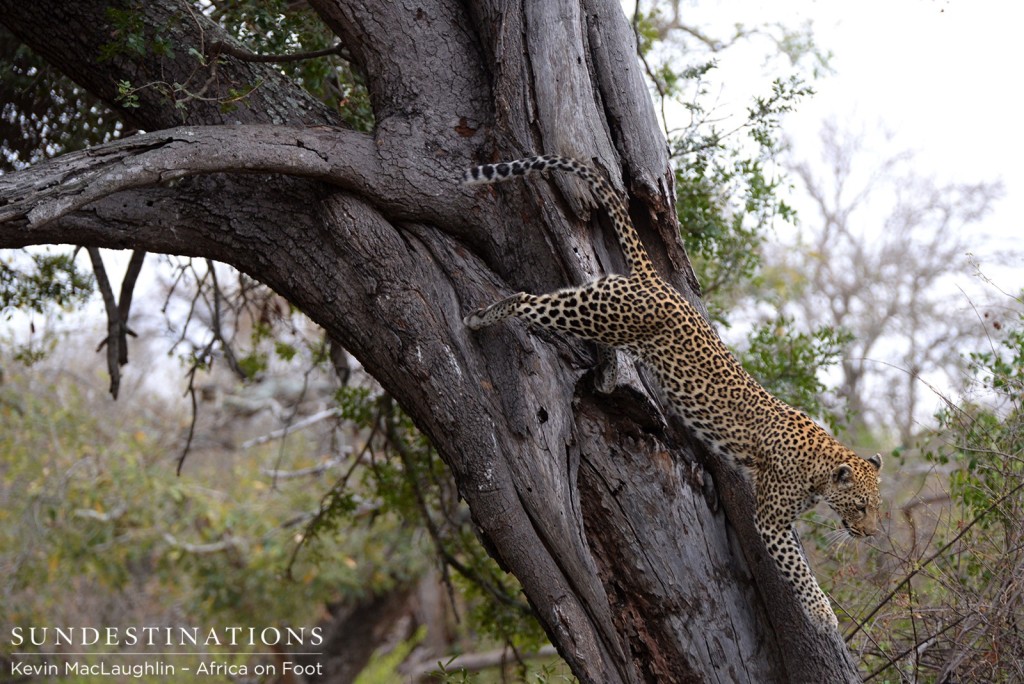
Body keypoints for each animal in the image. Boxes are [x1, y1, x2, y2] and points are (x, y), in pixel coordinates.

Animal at [462, 153, 880, 630]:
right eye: (861, 506)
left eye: (874, 506)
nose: (870, 534)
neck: (822, 466)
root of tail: (656, 280)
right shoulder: (771, 519)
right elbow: (797, 569)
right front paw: (822, 612)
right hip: (598, 313)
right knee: (526, 298)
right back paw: (481, 317)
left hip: (599, 302)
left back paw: (605, 372)